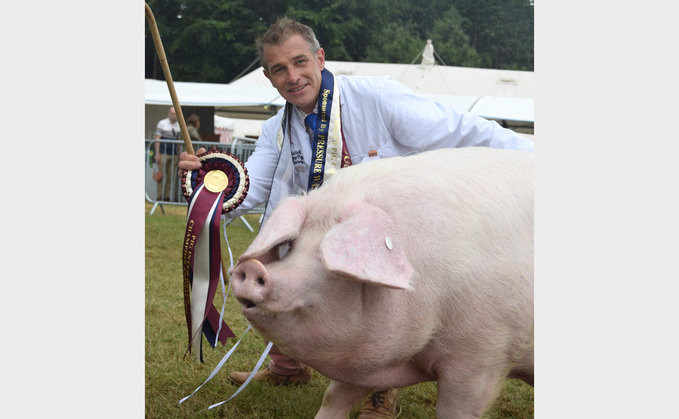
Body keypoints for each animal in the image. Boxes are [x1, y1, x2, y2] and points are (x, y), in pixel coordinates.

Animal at [230, 147, 533, 418]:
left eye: (328, 257)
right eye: (293, 245)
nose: (250, 267)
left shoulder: (482, 356)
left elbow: (455, 410)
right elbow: (334, 397)